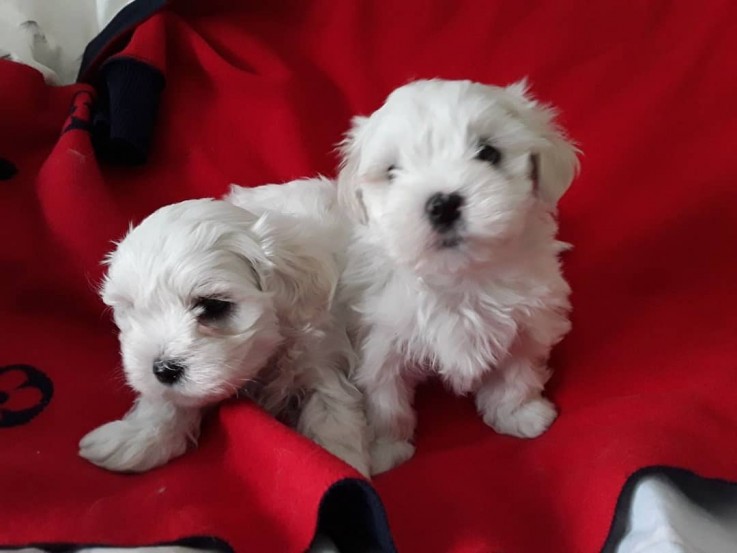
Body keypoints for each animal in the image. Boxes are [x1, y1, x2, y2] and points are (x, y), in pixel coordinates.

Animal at [77, 177, 370, 474]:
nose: (163, 370)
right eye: (132, 309)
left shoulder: (323, 359)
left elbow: (331, 415)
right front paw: (133, 437)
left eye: (213, 306)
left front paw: (342, 462)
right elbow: (171, 400)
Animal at [336, 78, 576, 474]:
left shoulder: (527, 321)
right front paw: (386, 448)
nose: (443, 203)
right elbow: (385, 396)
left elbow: (518, 372)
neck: (459, 276)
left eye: (489, 153)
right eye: (392, 172)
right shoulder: (380, 338)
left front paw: (520, 414)